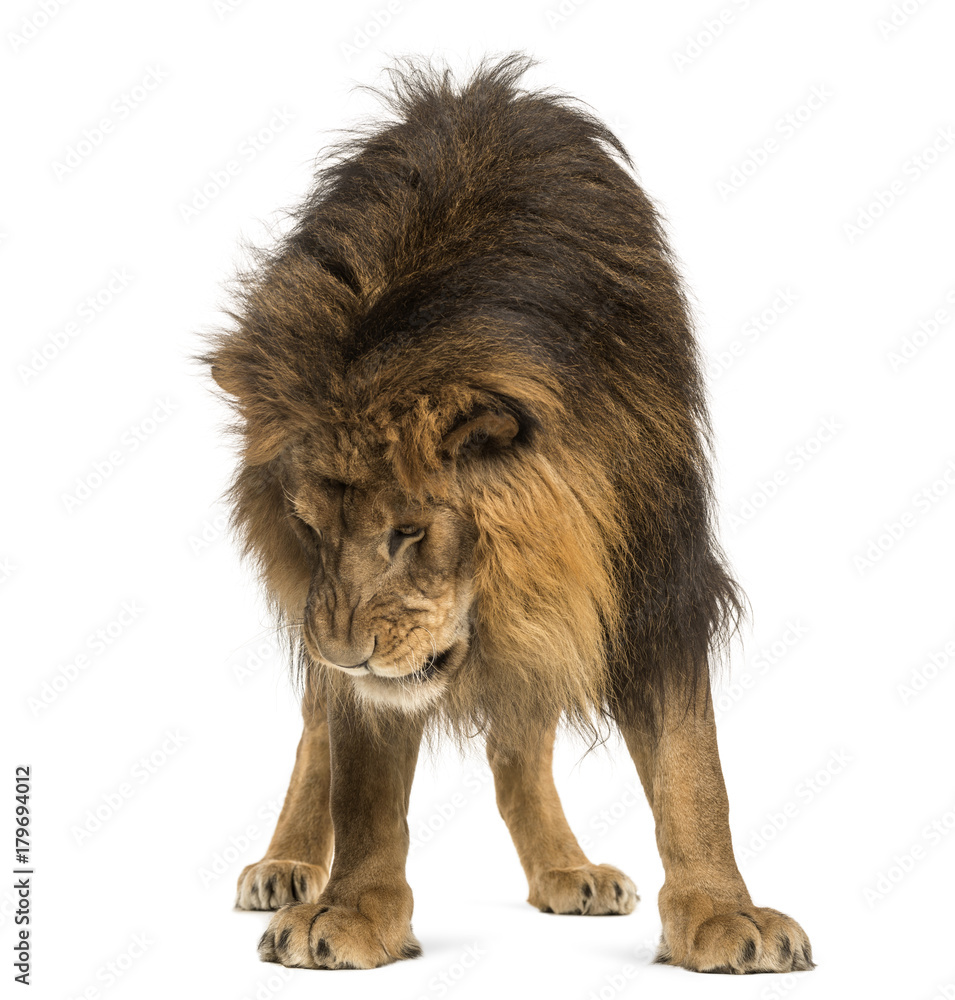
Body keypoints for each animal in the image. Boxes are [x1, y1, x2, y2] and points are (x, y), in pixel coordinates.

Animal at [204, 54, 814, 974]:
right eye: (308, 528)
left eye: (409, 531)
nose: (345, 654)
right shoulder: (353, 640)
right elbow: (363, 778)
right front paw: (351, 912)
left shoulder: (648, 574)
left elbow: (690, 768)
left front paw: (720, 913)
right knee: (319, 726)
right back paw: (287, 862)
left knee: (516, 739)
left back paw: (565, 868)